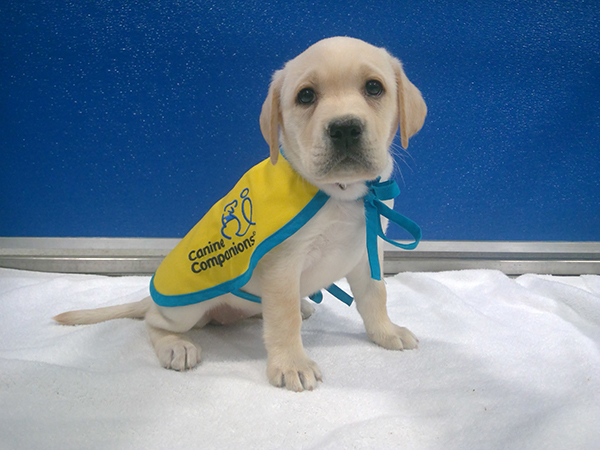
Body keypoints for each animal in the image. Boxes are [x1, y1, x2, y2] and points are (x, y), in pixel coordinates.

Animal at [54, 37, 424, 392]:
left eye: (374, 88)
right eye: (306, 96)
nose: (344, 128)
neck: (341, 195)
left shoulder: (367, 249)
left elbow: (376, 296)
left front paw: (386, 332)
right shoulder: (283, 265)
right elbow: (284, 318)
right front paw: (292, 363)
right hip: (184, 308)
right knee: (154, 322)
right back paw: (175, 345)